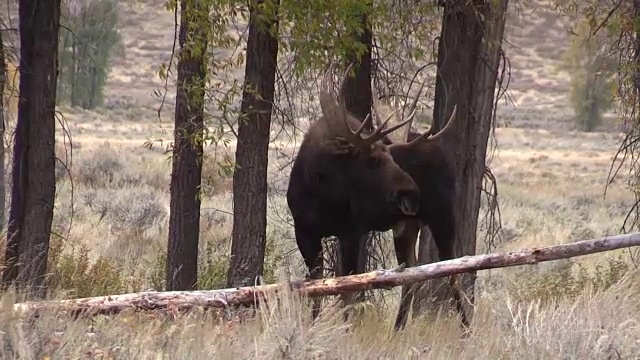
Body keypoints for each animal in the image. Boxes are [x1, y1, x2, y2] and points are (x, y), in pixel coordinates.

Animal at [288, 62, 468, 332]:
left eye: (392, 156)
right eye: (373, 159)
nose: (413, 192)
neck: (322, 193)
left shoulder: (351, 232)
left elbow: (348, 287)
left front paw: (346, 330)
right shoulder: (304, 231)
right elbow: (316, 286)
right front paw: (312, 327)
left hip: (443, 215)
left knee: (452, 269)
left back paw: (466, 327)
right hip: (406, 226)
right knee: (412, 274)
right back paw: (398, 329)